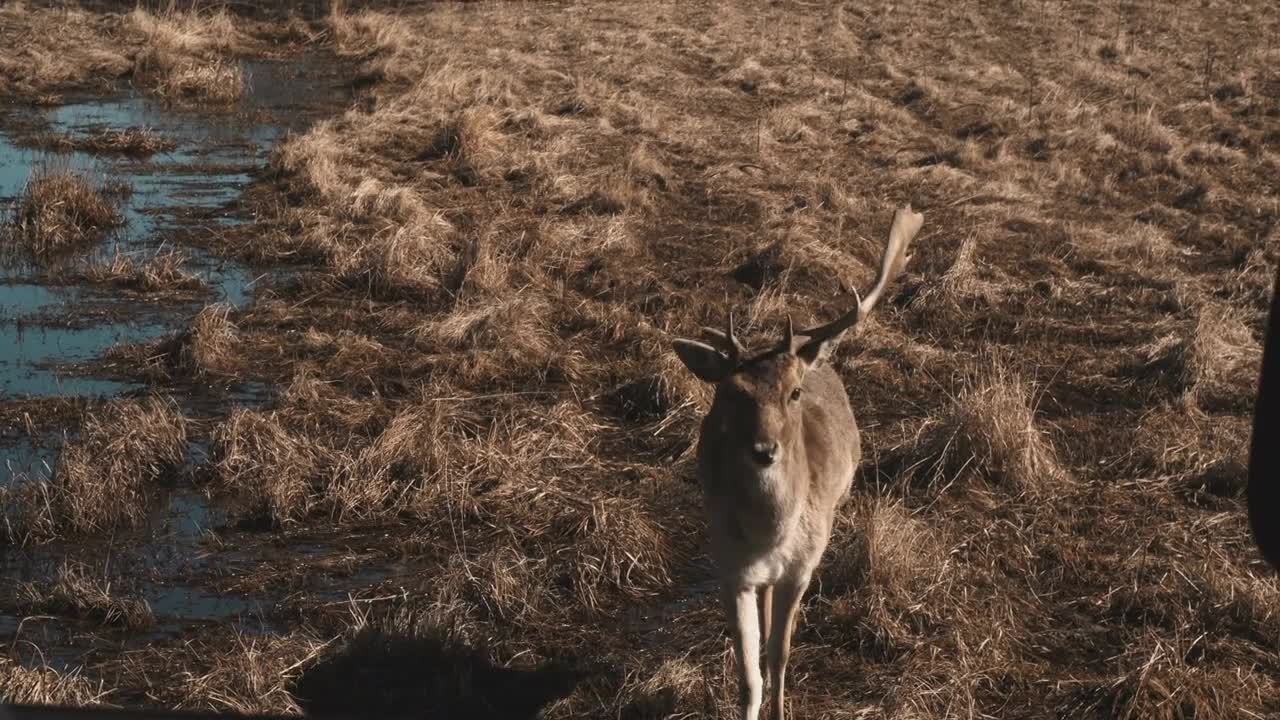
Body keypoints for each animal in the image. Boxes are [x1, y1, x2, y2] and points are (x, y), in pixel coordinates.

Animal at [670, 204, 921, 717]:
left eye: (795, 393)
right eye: (730, 394)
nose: (764, 450)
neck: (770, 537)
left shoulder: (804, 565)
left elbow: (780, 656)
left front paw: (781, 708)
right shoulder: (729, 567)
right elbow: (748, 675)